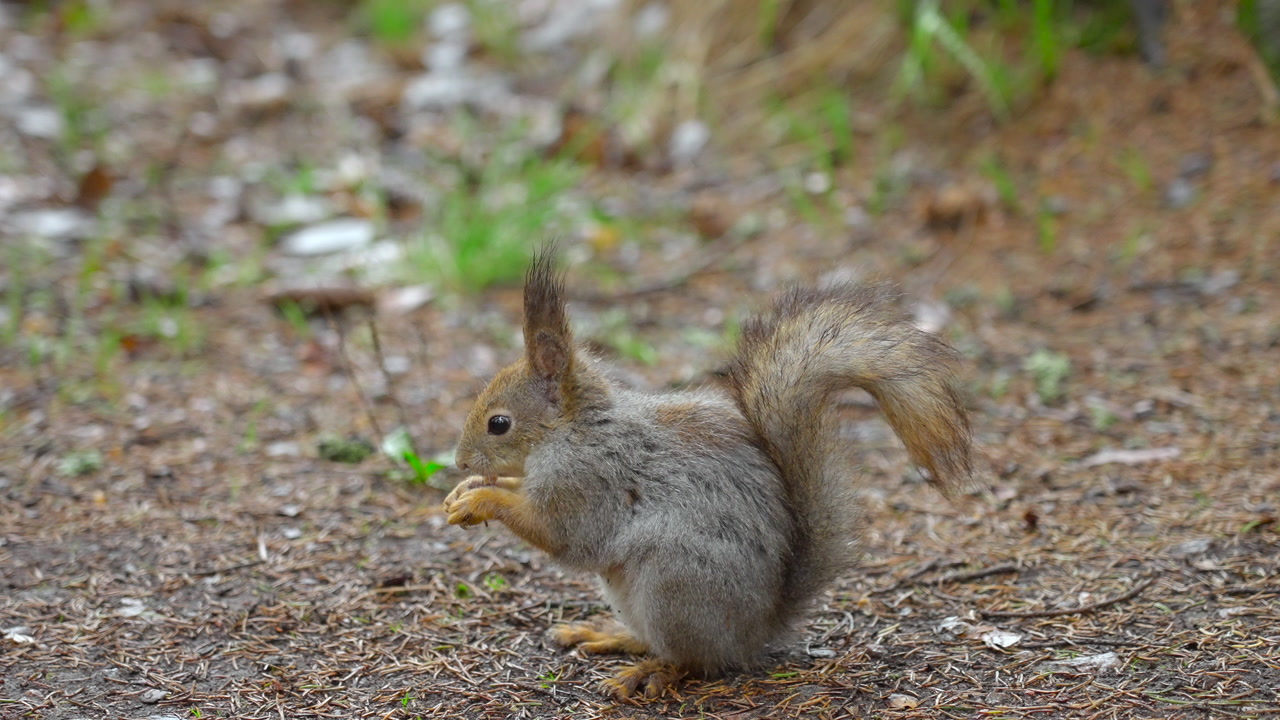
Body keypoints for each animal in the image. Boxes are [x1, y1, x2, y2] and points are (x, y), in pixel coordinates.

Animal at [444, 246, 974, 699]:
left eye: (498, 423)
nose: (461, 463)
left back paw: (650, 672)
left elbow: (563, 535)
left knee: (696, 661)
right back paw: (612, 635)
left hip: (675, 585)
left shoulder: (587, 479)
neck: (574, 429)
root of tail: (757, 629)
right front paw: (465, 491)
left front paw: (481, 498)